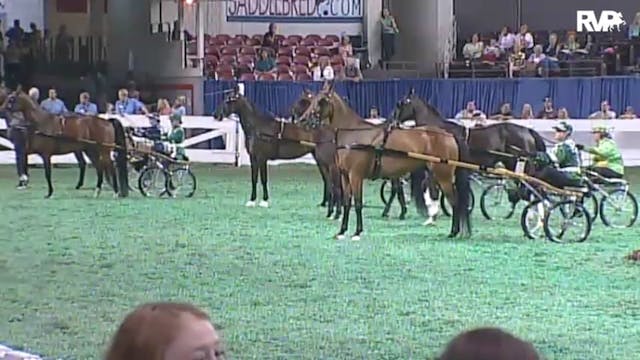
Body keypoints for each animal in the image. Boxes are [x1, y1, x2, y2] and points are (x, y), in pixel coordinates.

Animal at [0, 89, 129, 198]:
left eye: (11, 99)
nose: (1, 109)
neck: (41, 123)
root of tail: (107, 122)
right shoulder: (29, 150)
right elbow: (22, 160)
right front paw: (23, 180)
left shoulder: (46, 154)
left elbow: (47, 173)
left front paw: (49, 193)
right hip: (91, 151)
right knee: (99, 167)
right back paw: (97, 191)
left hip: (104, 150)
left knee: (110, 167)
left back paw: (115, 192)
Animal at [212, 86, 340, 214]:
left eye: (229, 100)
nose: (216, 115)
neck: (258, 128)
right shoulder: (253, 158)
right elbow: (254, 179)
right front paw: (252, 201)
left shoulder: (262, 158)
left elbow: (264, 179)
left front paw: (264, 201)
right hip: (319, 160)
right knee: (327, 180)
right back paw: (324, 203)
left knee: (331, 180)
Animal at [296, 83, 470, 240]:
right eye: (313, 99)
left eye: (321, 101)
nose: (303, 120)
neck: (354, 135)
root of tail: (449, 135)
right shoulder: (345, 176)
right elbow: (347, 202)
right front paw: (342, 231)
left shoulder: (355, 176)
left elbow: (358, 203)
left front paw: (357, 232)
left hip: (443, 176)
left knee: (455, 201)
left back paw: (453, 232)